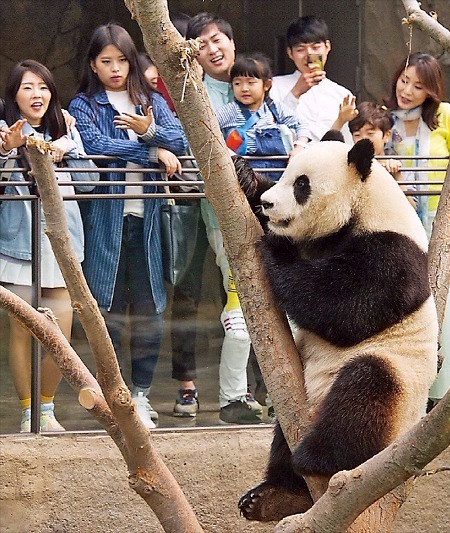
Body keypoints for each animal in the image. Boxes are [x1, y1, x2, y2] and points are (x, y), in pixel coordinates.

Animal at [234, 139, 438, 520]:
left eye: (301, 185)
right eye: (284, 173)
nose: (269, 203)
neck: (363, 205)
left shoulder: (393, 255)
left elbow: (344, 309)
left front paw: (276, 250)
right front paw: (247, 178)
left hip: (400, 389)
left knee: (364, 392)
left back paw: (315, 459)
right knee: (282, 435)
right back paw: (277, 497)